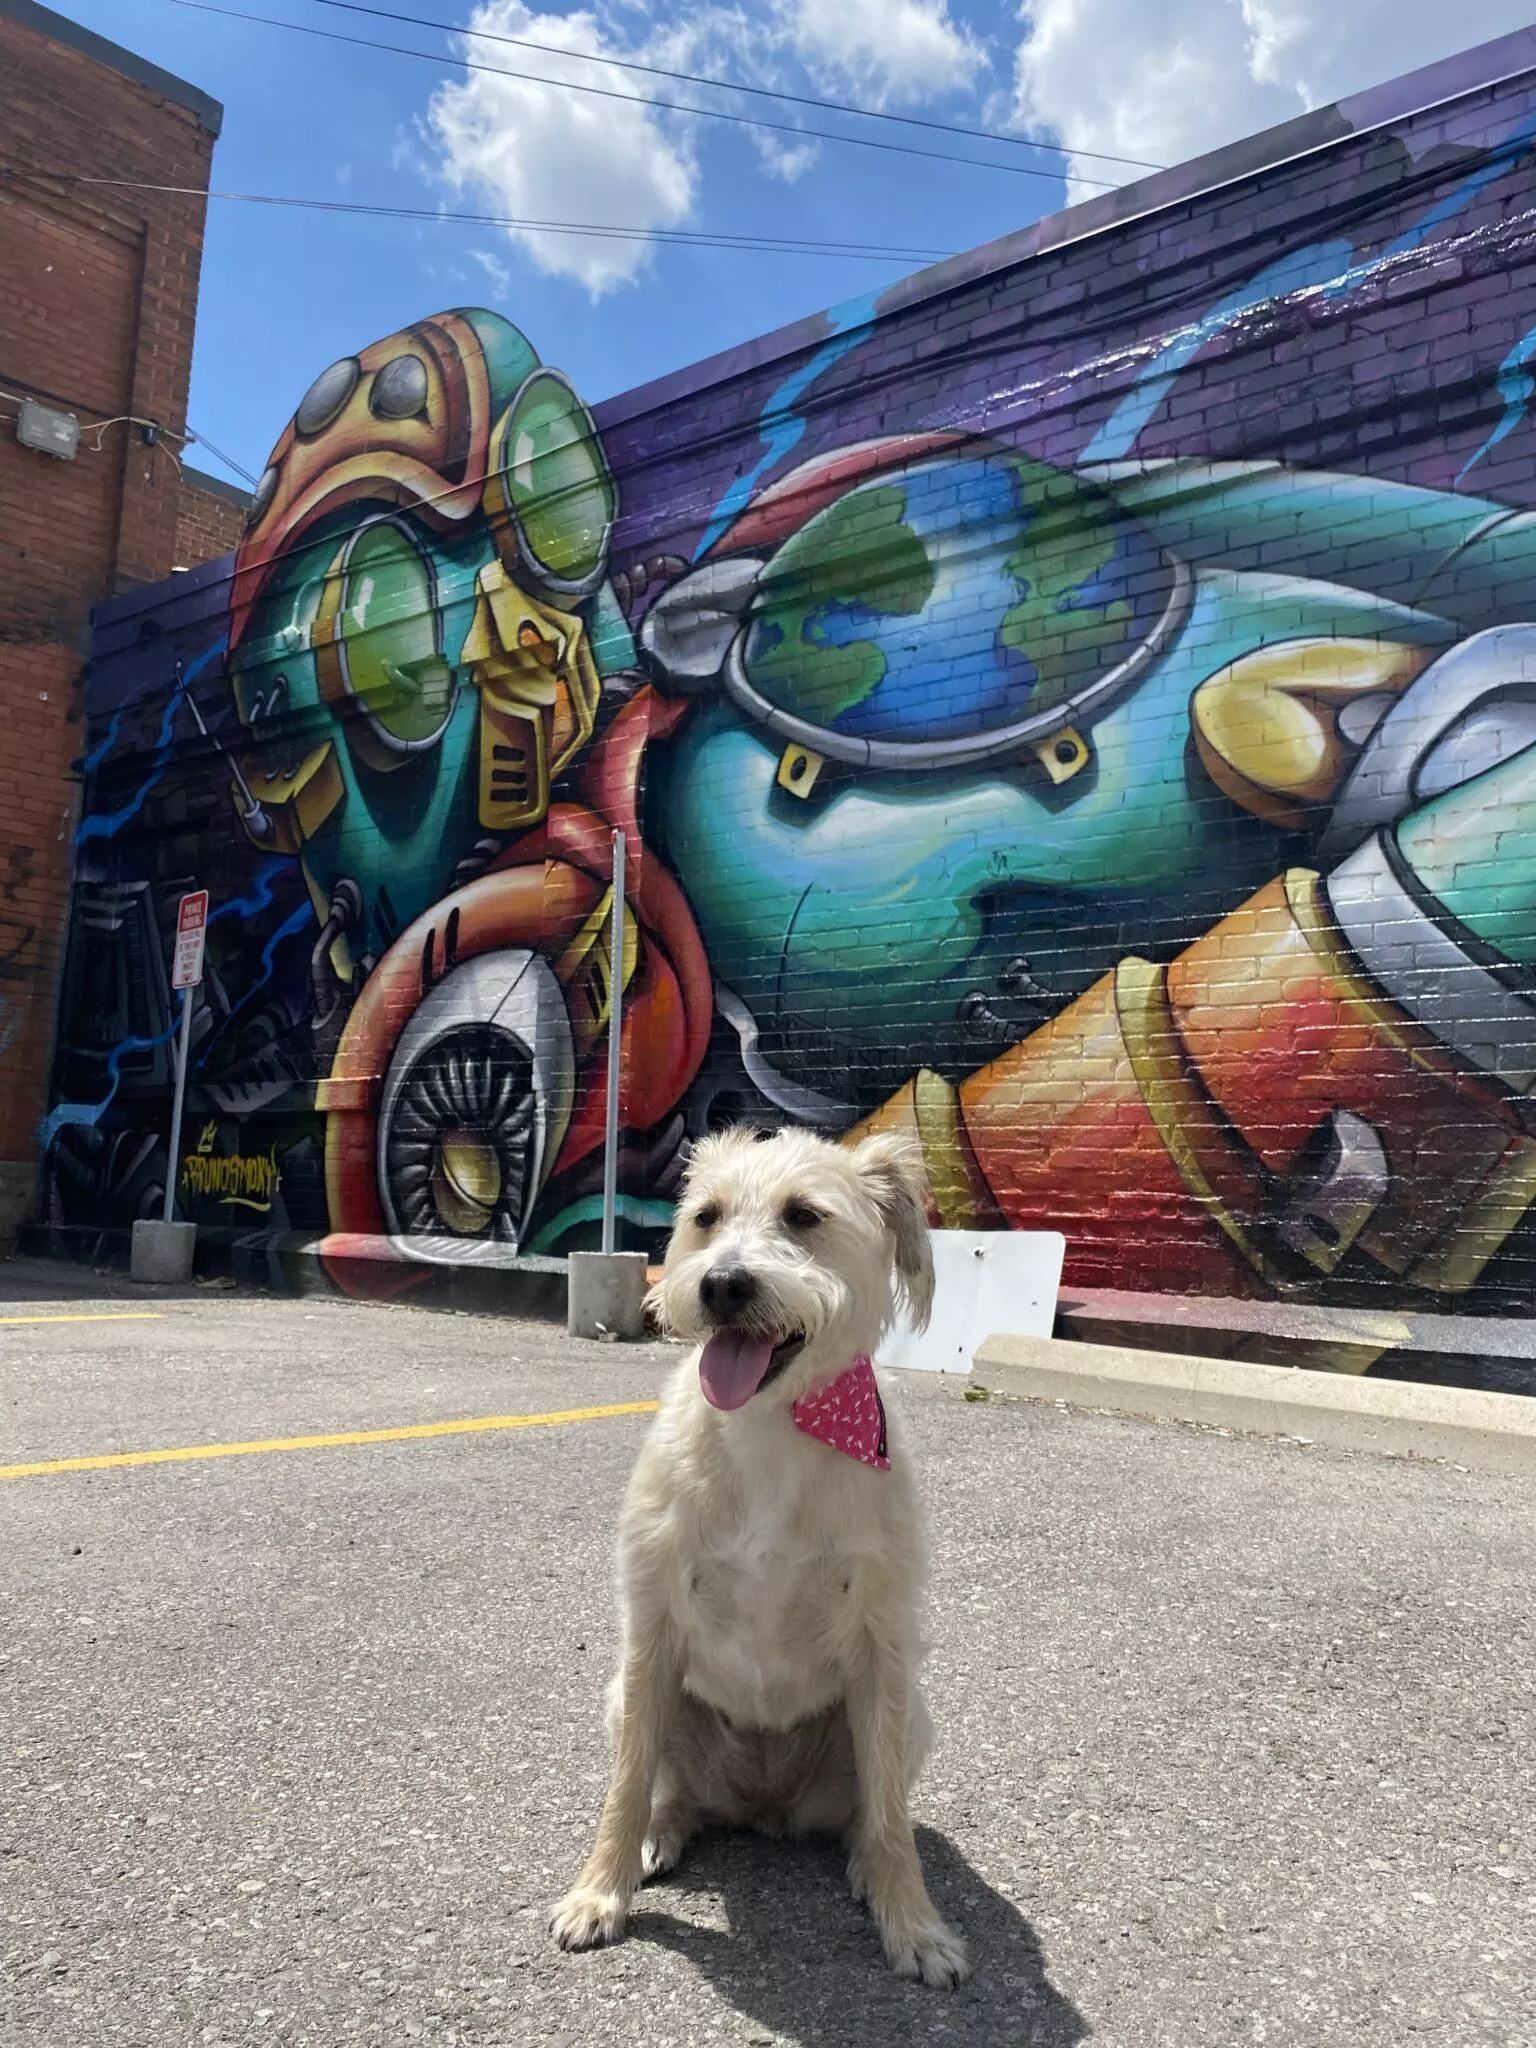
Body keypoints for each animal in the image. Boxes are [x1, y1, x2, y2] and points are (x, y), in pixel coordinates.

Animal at [549, 1125, 969, 1988]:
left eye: (804, 1215)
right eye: (705, 1217)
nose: (721, 1285)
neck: (774, 1423)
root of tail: (764, 1806)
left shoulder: (883, 1638)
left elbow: (891, 1817)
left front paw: (914, 1924)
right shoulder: (652, 1626)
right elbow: (625, 1786)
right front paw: (598, 1893)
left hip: (911, 1715)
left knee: (866, 1813)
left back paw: (862, 1866)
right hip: (627, 1696)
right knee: (668, 1791)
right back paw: (661, 1833)